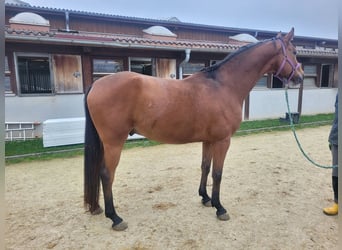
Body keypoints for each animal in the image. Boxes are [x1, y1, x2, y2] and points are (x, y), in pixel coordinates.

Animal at [84, 27, 304, 230]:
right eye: (293, 51)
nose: (300, 77)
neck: (223, 86)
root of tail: (96, 85)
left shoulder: (209, 140)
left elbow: (205, 166)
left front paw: (205, 198)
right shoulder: (223, 141)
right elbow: (217, 173)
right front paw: (219, 207)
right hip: (114, 143)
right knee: (106, 175)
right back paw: (115, 218)